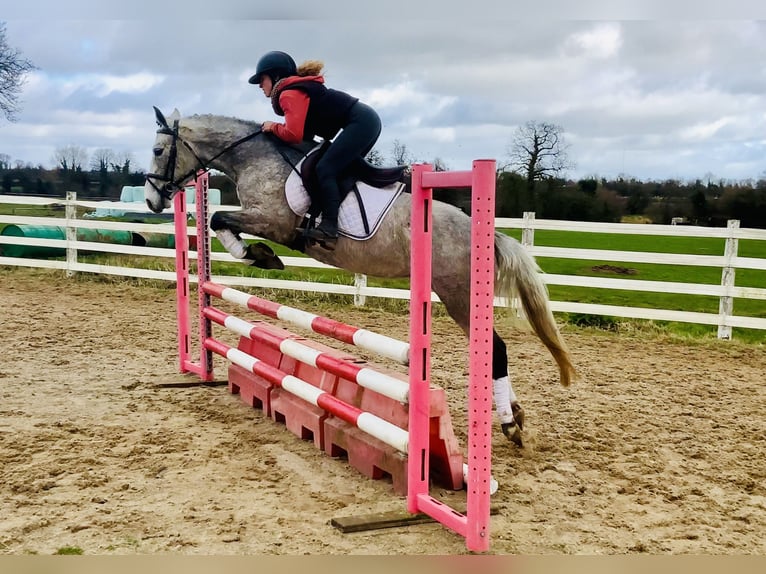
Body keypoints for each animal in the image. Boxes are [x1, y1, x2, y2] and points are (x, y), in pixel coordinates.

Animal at [144, 109, 576, 450]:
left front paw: (259, 255)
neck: (255, 158)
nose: (152, 200)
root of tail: (482, 233)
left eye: (158, 151)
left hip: (457, 294)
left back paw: (509, 425)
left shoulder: (274, 221)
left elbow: (218, 218)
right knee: (489, 351)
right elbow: (218, 221)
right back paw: (515, 415)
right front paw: (260, 256)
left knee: (495, 350)